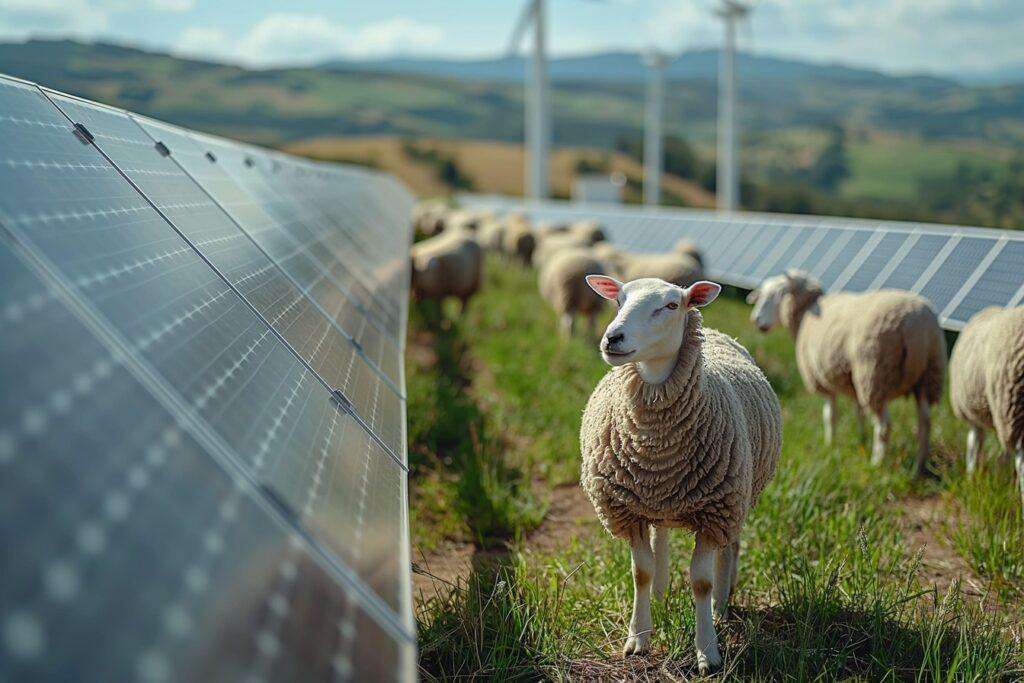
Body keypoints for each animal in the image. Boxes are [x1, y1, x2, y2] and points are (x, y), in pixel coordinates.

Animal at [581, 274, 778, 671]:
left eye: (671, 305)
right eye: (619, 299)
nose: (613, 338)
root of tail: (715, 331)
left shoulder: (714, 511)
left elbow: (700, 582)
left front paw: (708, 652)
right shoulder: (629, 509)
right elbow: (640, 572)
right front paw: (638, 638)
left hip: (738, 496)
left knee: (730, 548)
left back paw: (721, 606)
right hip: (658, 502)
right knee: (660, 540)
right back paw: (661, 594)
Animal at [749, 270, 946, 475]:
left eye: (779, 294)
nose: (756, 320)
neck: (806, 312)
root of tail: (913, 325)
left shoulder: (822, 380)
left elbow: (829, 415)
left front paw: (831, 443)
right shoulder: (852, 381)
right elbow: (858, 412)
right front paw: (861, 439)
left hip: (874, 374)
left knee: (884, 426)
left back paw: (877, 463)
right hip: (928, 375)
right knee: (925, 423)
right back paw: (920, 466)